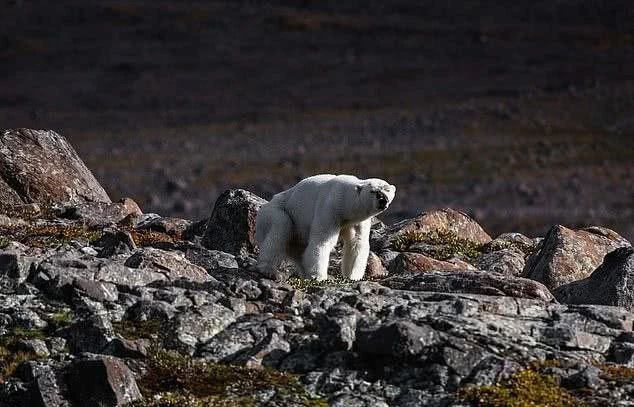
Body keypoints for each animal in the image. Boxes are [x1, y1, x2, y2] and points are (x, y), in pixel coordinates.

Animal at [253, 174, 392, 282]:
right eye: (373, 191)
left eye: (387, 190)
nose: (383, 200)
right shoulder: (330, 208)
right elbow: (322, 241)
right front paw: (318, 277)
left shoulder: (357, 222)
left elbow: (357, 243)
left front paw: (353, 276)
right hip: (276, 211)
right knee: (280, 227)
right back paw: (270, 271)